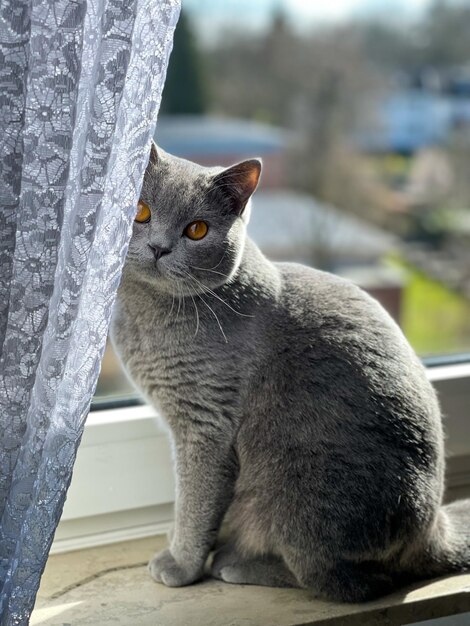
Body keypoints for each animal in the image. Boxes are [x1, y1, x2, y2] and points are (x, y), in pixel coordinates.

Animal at [111, 144, 470, 604]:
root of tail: (433, 529)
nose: (159, 247)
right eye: (140, 211)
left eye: (197, 230)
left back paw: (238, 563)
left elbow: (194, 501)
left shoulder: (205, 425)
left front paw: (180, 562)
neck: (146, 313)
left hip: (298, 493)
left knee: (350, 582)